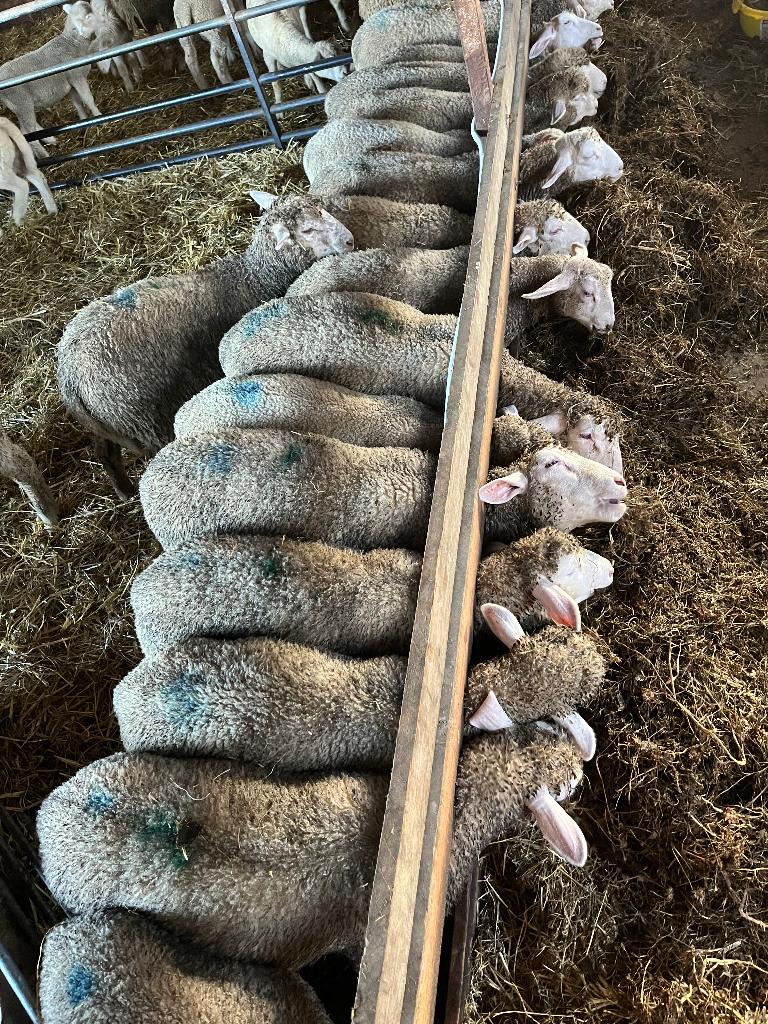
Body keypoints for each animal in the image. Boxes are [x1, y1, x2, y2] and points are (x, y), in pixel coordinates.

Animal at [0, 2, 101, 158]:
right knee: (27, 132)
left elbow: (77, 103)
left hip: (21, 106)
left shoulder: (70, 84)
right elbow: (88, 99)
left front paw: (84, 121)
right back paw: (45, 155)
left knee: (27, 129)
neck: (72, 42)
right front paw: (99, 117)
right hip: (22, 103)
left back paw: (51, 139)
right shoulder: (77, 77)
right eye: (88, 16)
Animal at [57, 192, 354, 500]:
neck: (254, 279)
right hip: (143, 417)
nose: (350, 241)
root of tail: (69, 375)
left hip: (109, 423)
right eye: (307, 230)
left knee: (104, 451)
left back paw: (124, 491)